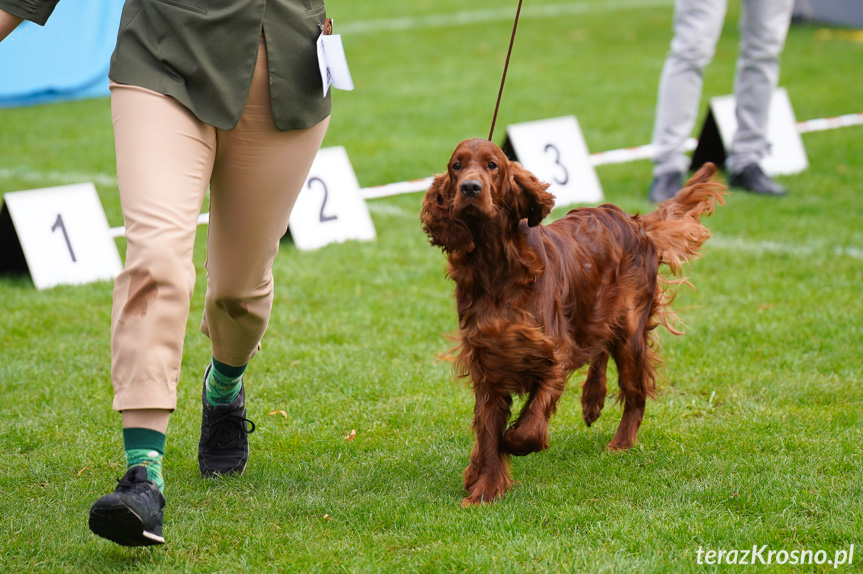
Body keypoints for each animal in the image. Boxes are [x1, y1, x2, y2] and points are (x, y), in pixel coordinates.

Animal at [422, 137, 724, 506]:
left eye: (493, 165)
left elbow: (526, 429)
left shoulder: (551, 353)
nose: (470, 188)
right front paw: (485, 490)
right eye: (457, 166)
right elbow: (489, 432)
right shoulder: (488, 361)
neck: (495, 267)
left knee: (635, 390)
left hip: (629, 330)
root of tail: (634, 221)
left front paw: (507, 447)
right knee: (599, 348)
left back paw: (621, 441)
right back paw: (592, 399)